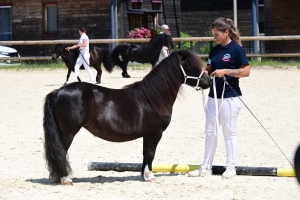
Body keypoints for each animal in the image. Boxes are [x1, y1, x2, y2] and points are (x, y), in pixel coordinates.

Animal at [43, 49, 211, 184]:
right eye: (193, 67)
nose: (209, 81)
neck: (153, 98)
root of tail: (57, 92)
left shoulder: (147, 135)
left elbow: (145, 154)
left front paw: (144, 176)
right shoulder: (156, 133)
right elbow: (151, 153)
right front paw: (151, 177)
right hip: (69, 133)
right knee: (61, 152)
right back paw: (66, 179)